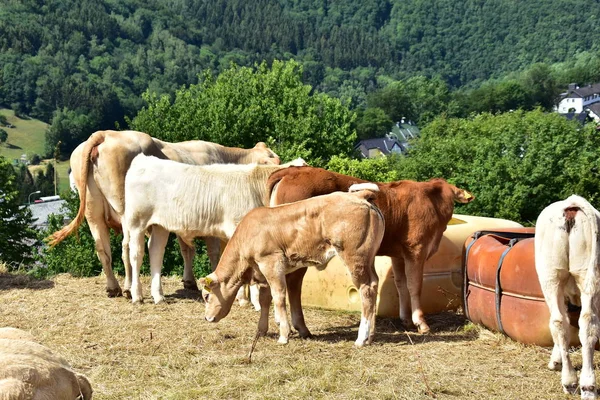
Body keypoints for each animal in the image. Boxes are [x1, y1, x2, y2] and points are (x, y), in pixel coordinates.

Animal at [48, 130, 280, 298]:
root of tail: (104, 134)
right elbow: (213, 252)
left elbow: (186, 249)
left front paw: (189, 281)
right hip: (126, 211)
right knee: (126, 246)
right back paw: (129, 288)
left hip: (93, 213)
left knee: (102, 249)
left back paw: (113, 287)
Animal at [121, 153, 304, 304]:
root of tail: (143, 159)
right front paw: (248, 300)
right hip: (137, 222)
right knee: (136, 254)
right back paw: (137, 295)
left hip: (160, 226)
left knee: (156, 252)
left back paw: (158, 296)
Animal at [198, 184, 384, 344]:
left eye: (206, 296)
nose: (207, 318)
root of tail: (359, 195)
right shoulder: (263, 272)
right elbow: (265, 299)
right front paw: (262, 330)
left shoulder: (271, 263)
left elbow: (279, 297)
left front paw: (283, 335)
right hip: (368, 259)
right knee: (374, 284)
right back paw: (370, 336)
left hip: (355, 257)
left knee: (366, 289)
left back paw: (361, 339)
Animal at [266, 167, 474, 336]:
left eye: (451, 199)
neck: (432, 202)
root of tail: (293, 170)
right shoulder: (416, 250)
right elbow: (415, 285)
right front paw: (420, 323)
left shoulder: (399, 254)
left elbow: (401, 284)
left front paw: (406, 319)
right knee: (293, 283)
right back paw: (301, 327)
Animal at [536, 195, 600, 398]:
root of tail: (572, 203)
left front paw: (555, 361)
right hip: (588, 274)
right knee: (588, 323)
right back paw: (588, 386)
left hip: (550, 275)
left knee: (558, 322)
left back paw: (569, 381)